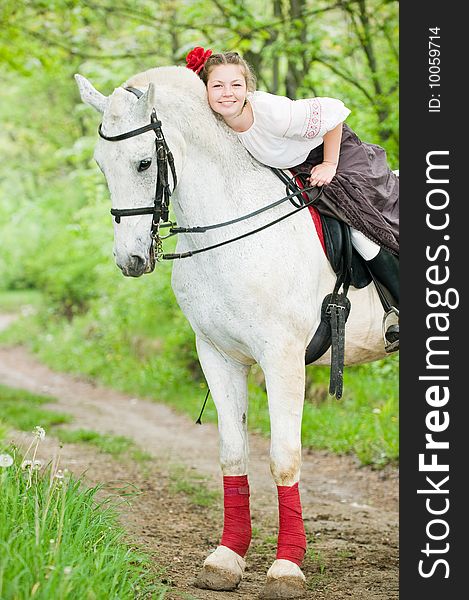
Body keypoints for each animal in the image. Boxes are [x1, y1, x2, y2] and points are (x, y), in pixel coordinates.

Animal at [77, 67, 392, 600]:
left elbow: (284, 458)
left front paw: (286, 567)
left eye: (143, 162)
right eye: (102, 165)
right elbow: (231, 455)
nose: (131, 259)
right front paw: (227, 559)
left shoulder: (282, 358)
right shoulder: (218, 355)